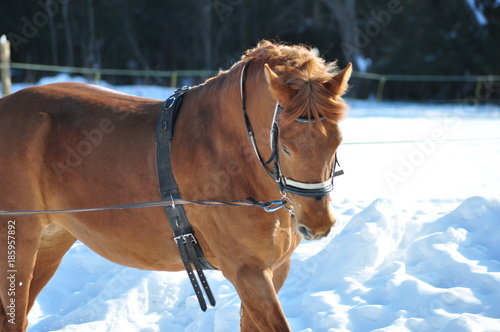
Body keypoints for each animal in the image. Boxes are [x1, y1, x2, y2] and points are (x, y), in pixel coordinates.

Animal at [0, 41, 352, 332]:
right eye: (287, 148)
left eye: (337, 141)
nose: (318, 224)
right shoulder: (247, 272)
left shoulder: (275, 269)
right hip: (19, 241)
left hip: (51, 241)